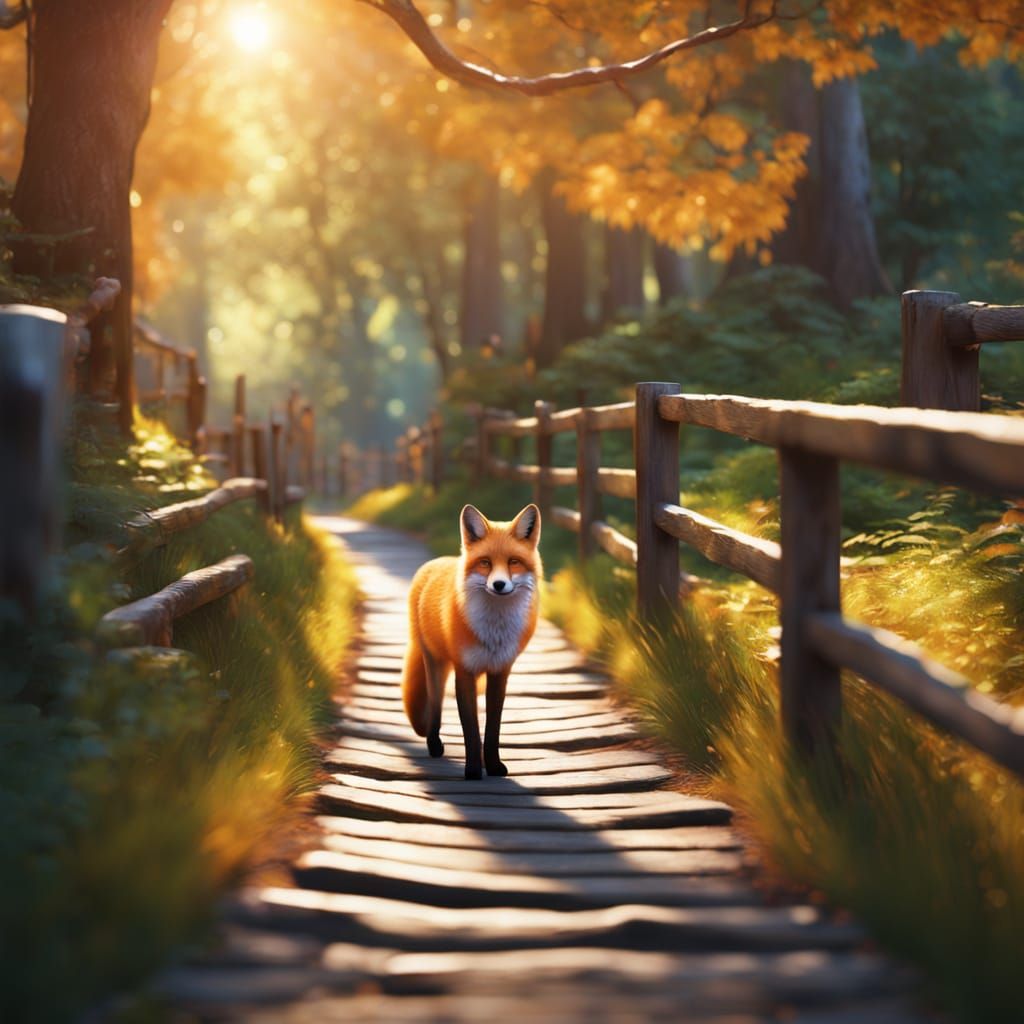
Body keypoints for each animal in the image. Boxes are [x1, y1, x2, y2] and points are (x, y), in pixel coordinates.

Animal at [402, 503, 542, 780]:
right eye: (485, 563)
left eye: (513, 562)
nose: (499, 584)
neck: (494, 631)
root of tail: (435, 562)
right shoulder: (464, 671)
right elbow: (471, 730)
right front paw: (474, 770)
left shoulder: (500, 671)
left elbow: (492, 727)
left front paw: (493, 765)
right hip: (435, 665)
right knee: (434, 707)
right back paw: (434, 745)